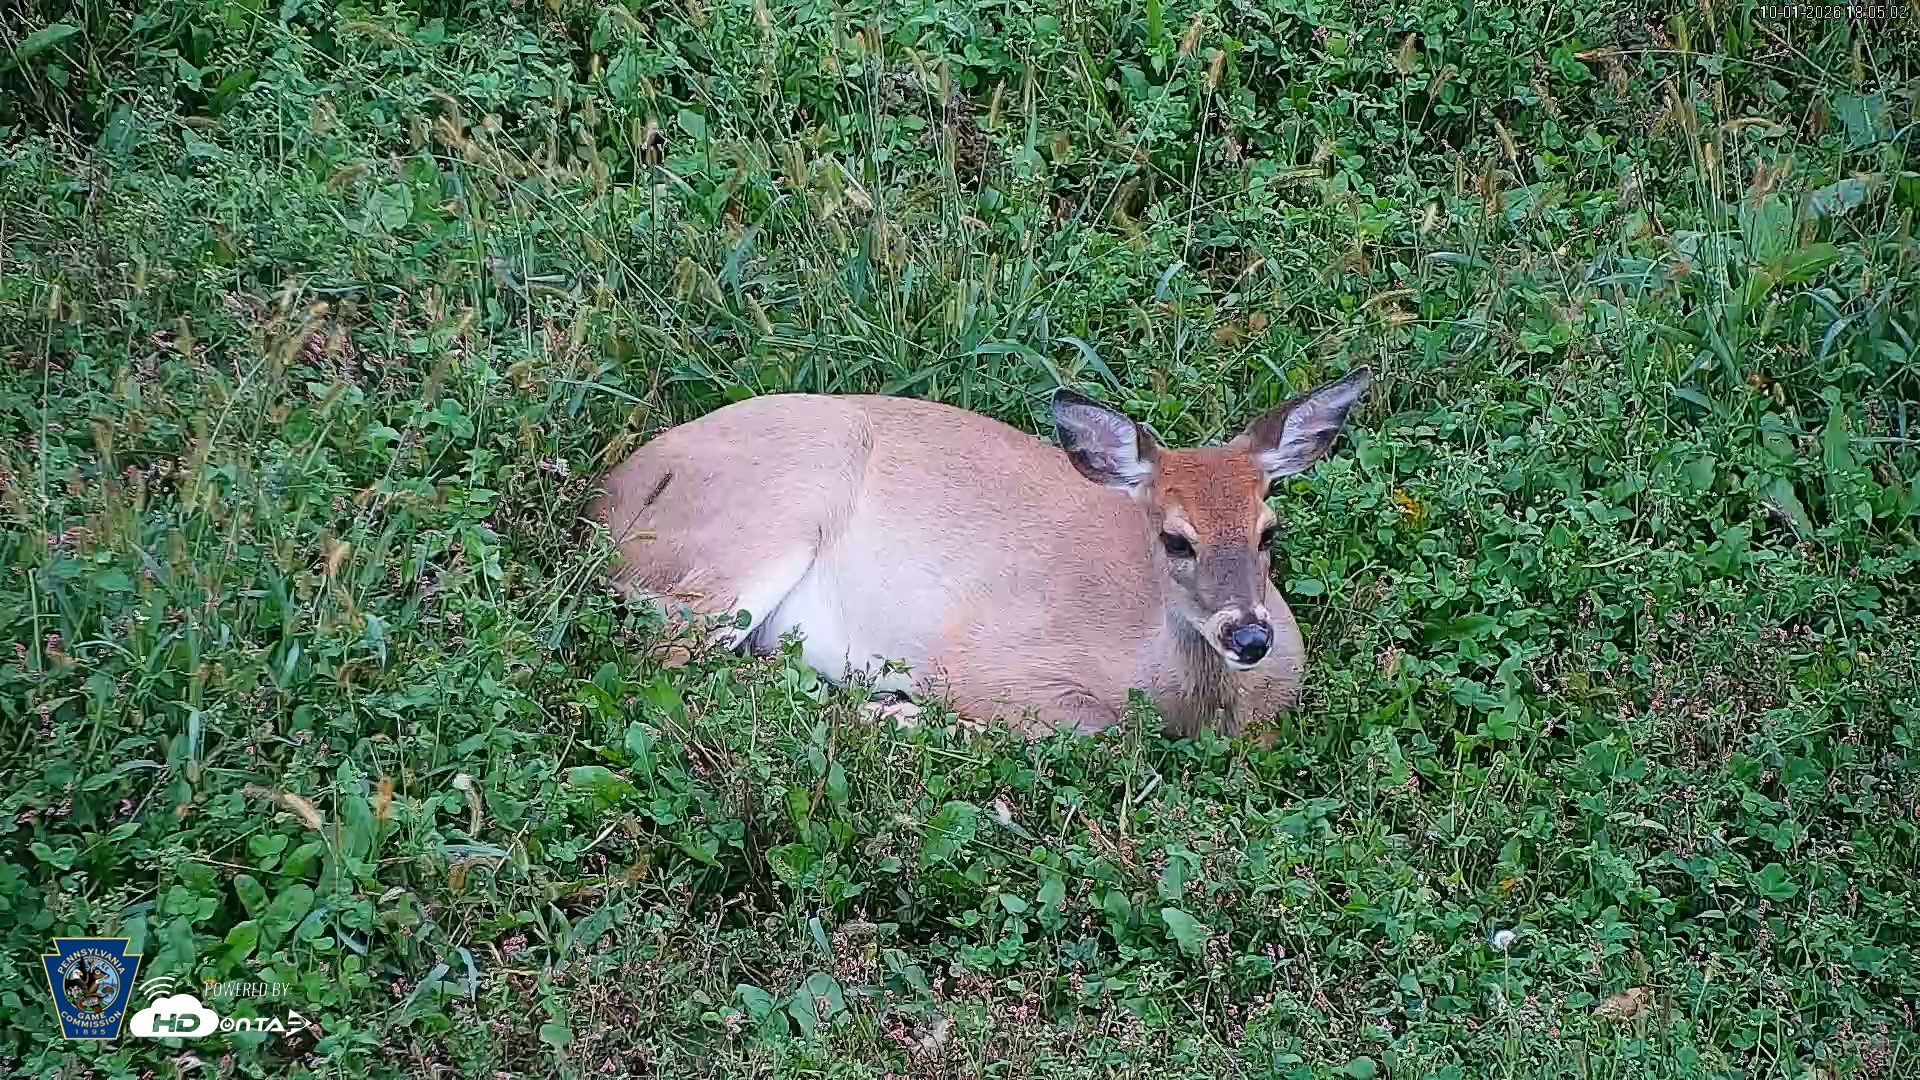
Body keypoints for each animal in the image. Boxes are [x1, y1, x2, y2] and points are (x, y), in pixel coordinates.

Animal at [590, 367, 1370, 737]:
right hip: (759, 528)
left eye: (1269, 529)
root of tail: (609, 498)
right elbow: (1091, 732)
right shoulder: (991, 664)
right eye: (1175, 538)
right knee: (671, 668)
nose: (1249, 636)